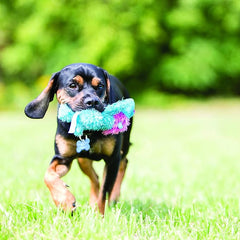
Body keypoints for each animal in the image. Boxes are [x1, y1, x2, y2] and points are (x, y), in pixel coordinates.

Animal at [24, 62, 133, 215]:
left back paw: (114, 197)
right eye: (72, 85)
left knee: (123, 164)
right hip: (83, 160)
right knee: (95, 178)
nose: (92, 101)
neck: (89, 131)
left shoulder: (112, 159)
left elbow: (104, 193)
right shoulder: (63, 158)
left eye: (100, 86)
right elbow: (48, 175)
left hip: (123, 145)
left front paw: (99, 217)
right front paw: (65, 201)